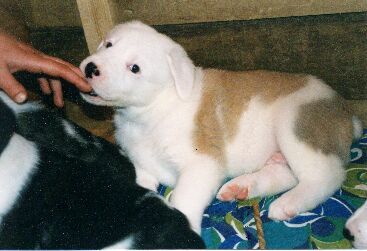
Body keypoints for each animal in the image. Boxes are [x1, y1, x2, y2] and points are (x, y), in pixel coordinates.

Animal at [80, 20, 362, 232]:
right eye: (108, 44)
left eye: (135, 68)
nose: (91, 68)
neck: (154, 110)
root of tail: (346, 112)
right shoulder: (143, 166)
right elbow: (141, 182)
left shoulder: (201, 165)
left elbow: (182, 198)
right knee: (286, 173)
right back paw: (244, 187)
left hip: (295, 125)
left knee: (325, 176)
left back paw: (288, 203)